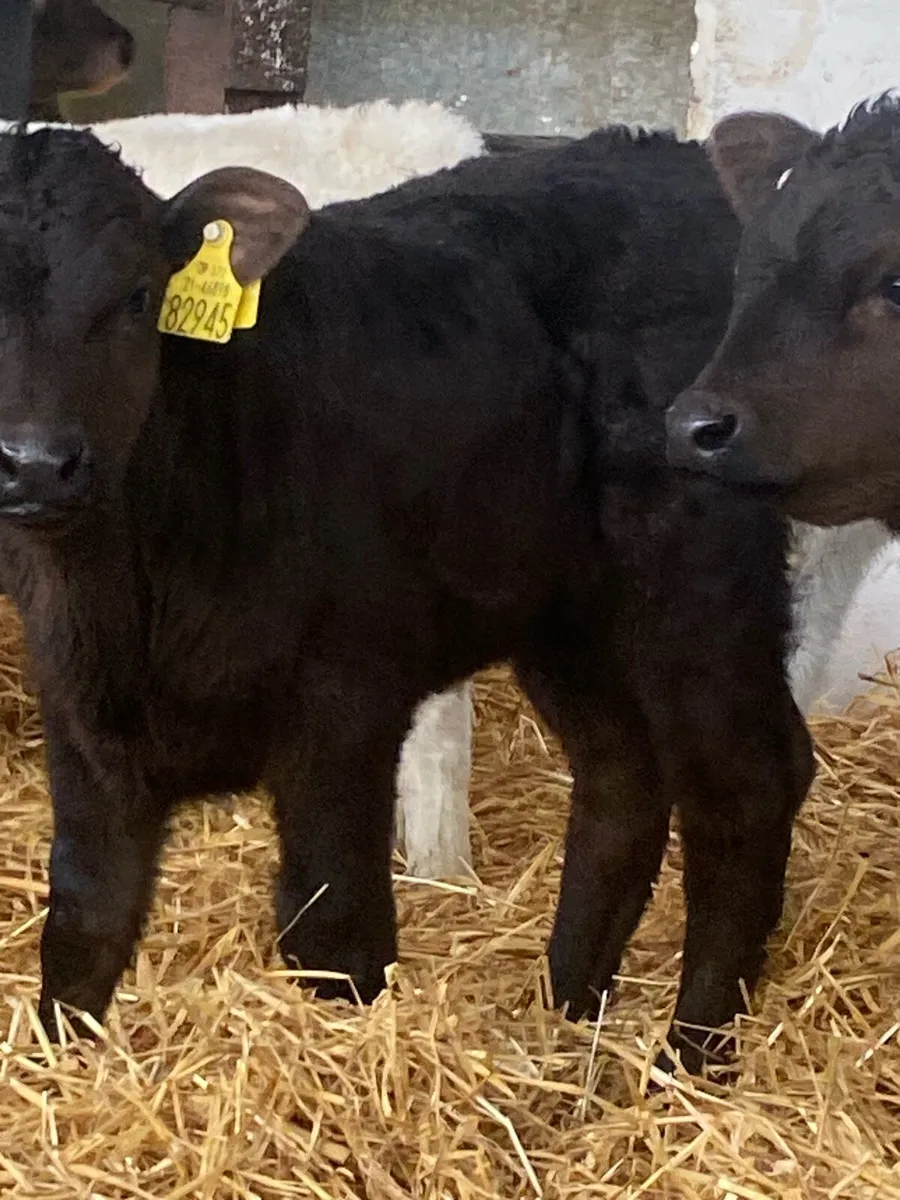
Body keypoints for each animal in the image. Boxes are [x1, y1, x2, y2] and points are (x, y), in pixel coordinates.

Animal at [0, 123, 812, 1077]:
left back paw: (691, 1056)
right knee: (622, 778)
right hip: (571, 610)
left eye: (137, 296)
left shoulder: (345, 702)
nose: (37, 462)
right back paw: (568, 1006)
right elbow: (83, 921)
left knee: (750, 783)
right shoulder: (84, 724)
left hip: (701, 582)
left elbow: (332, 928)